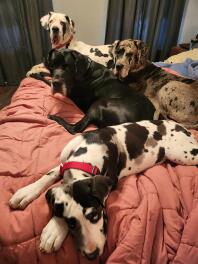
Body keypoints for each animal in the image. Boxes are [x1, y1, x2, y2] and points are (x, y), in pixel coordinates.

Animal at [9, 120, 198, 260]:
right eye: (72, 223)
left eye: (95, 215)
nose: (92, 255)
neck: (91, 151)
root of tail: (181, 126)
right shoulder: (65, 163)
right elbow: (49, 175)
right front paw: (26, 192)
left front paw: (53, 231)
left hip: (182, 153)